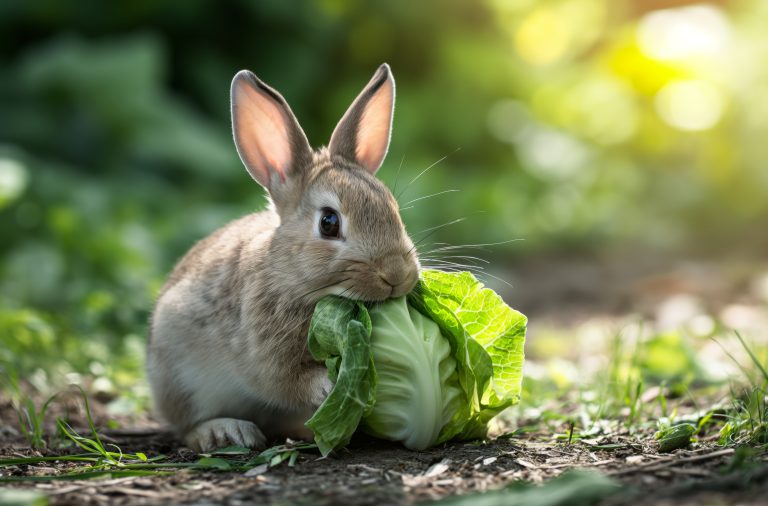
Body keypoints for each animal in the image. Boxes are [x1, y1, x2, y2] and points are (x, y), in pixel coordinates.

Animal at [146, 64, 420, 452]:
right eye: (329, 223)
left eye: (394, 209)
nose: (397, 275)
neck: (294, 279)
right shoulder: (266, 353)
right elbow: (287, 381)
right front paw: (332, 385)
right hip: (180, 372)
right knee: (186, 426)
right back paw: (225, 432)